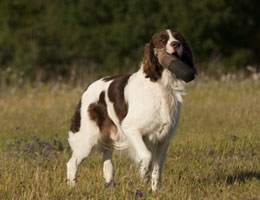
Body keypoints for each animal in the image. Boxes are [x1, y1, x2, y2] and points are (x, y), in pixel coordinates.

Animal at [66, 28, 196, 191]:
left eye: (178, 38)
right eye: (162, 39)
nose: (176, 44)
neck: (162, 85)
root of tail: (87, 89)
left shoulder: (164, 138)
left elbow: (157, 167)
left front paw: (155, 190)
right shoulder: (131, 129)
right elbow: (146, 156)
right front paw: (143, 175)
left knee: (107, 164)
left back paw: (109, 186)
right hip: (87, 139)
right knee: (72, 163)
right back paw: (72, 187)